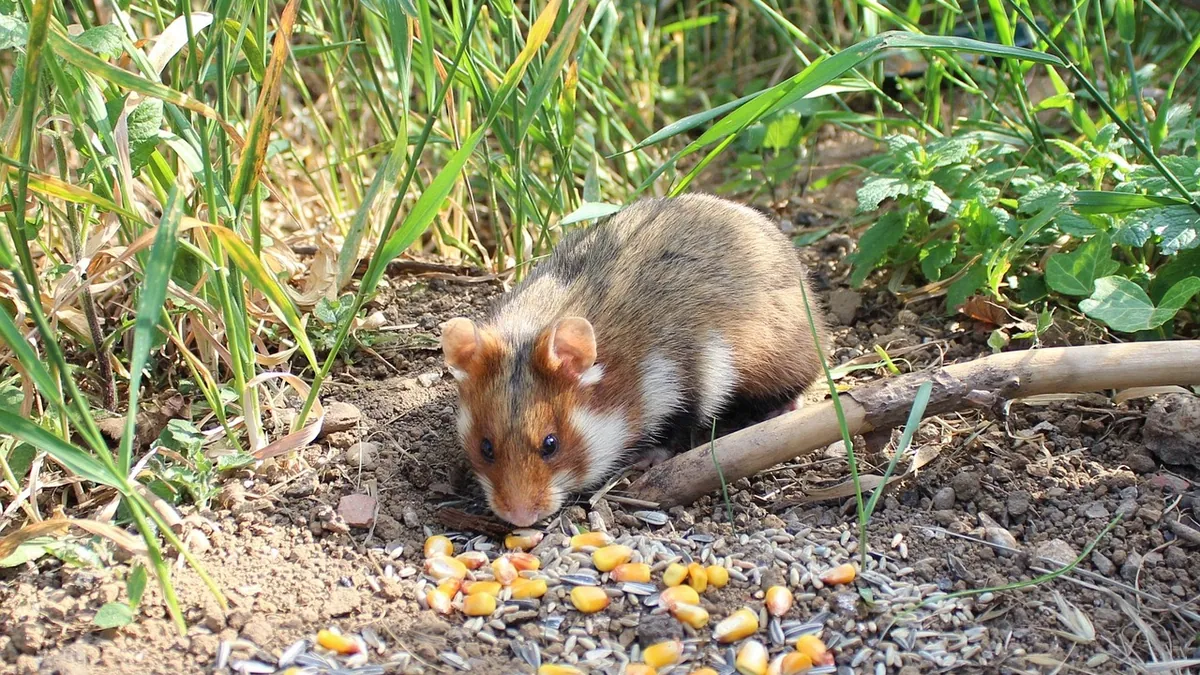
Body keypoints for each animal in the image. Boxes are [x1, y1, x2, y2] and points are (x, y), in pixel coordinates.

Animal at [440, 193, 828, 527]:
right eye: (486, 448)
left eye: (551, 444)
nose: (520, 518)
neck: (618, 380)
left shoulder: (691, 377)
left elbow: (678, 426)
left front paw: (645, 460)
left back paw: (782, 410)